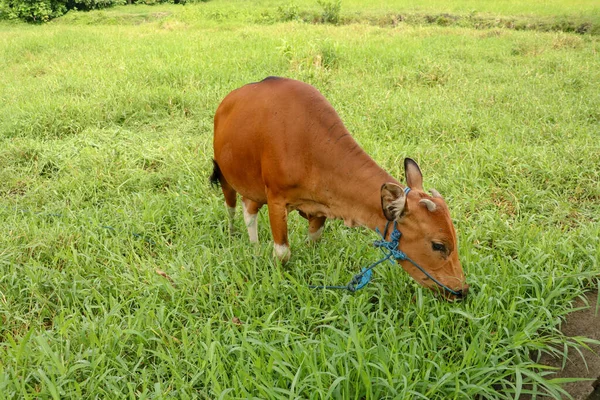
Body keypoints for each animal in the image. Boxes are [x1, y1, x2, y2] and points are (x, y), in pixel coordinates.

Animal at [211, 76, 468, 298]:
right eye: (438, 245)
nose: (461, 290)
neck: (310, 146)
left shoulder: (319, 206)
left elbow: (314, 241)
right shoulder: (276, 199)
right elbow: (283, 253)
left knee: (249, 208)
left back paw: (254, 247)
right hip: (224, 174)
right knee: (232, 206)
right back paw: (234, 235)